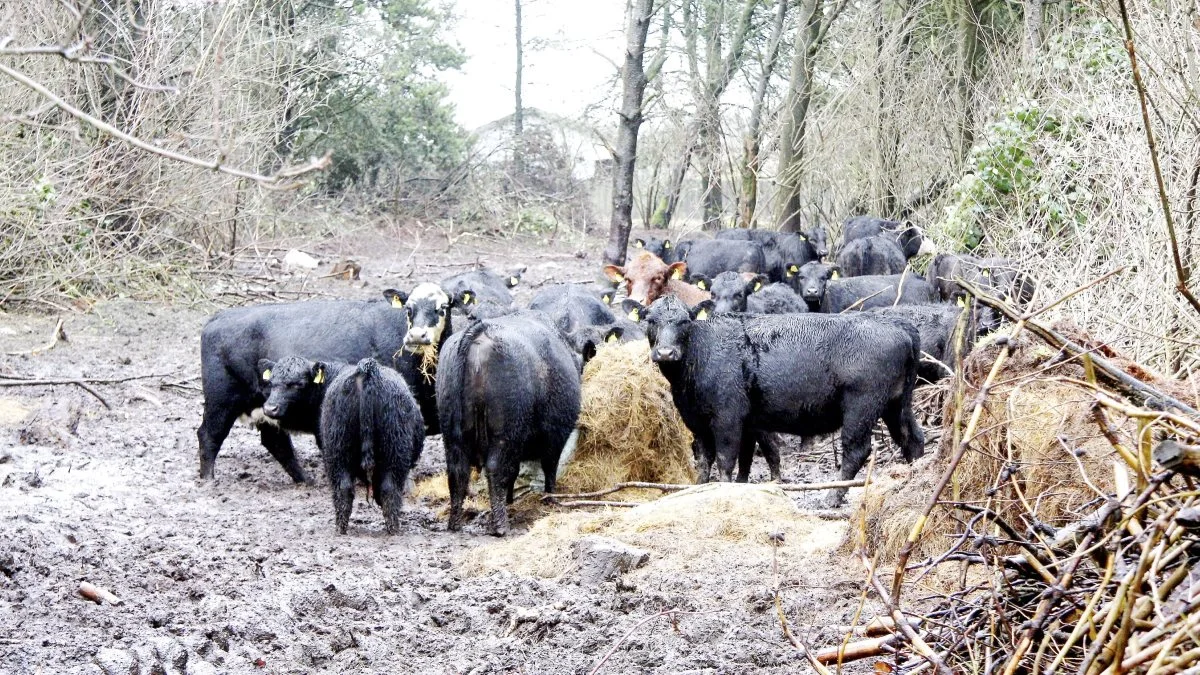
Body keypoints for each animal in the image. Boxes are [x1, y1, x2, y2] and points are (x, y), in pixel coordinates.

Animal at [196, 285, 458, 480]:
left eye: (443, 308)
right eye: (409, 309)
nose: (417, 336)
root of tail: (220, 317)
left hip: (265, 406)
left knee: (275, 441)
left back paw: (305, 479)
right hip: (222, 401)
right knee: (209, 435)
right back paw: (209, 480)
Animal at [321, 355, 429, 533]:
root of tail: (367, 370)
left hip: (338, 448)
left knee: (343, 489)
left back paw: (340, 528)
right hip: (394, 451)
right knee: (389, 489)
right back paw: (394, 528)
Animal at [436, 312, 585, 533]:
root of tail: (480, 331)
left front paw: (510, 500)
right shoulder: (555, 437)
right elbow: (549, 468)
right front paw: (551, 498)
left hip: (453, 436)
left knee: (457, 472)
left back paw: (455, 522)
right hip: (504, 435)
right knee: (495, 469)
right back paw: (501, 525)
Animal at [638, 295, 926, 504]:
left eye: (684, 321)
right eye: (651, 320)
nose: (666, 352)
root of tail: (897, 324)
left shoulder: (727, 418)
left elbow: (725, 459)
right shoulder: (704, 422)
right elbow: (713, 460)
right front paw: (701, 488)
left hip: (861, 408)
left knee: (856, 450)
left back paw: (832, 496)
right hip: (897, 405)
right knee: (912, 438)